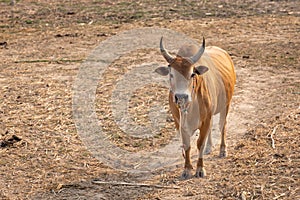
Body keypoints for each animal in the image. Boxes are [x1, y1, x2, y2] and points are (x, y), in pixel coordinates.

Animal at [156, 36, 236, 179]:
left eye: (192, 74)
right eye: (171, 74)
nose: (181, 96)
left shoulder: (205, 119)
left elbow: (200, 143)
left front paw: (200, 169)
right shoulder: (179, 122)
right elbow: (187, 145)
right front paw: (187, 169)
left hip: (226, 105)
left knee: (222, 125)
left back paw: (222, 149)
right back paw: (210, 147)